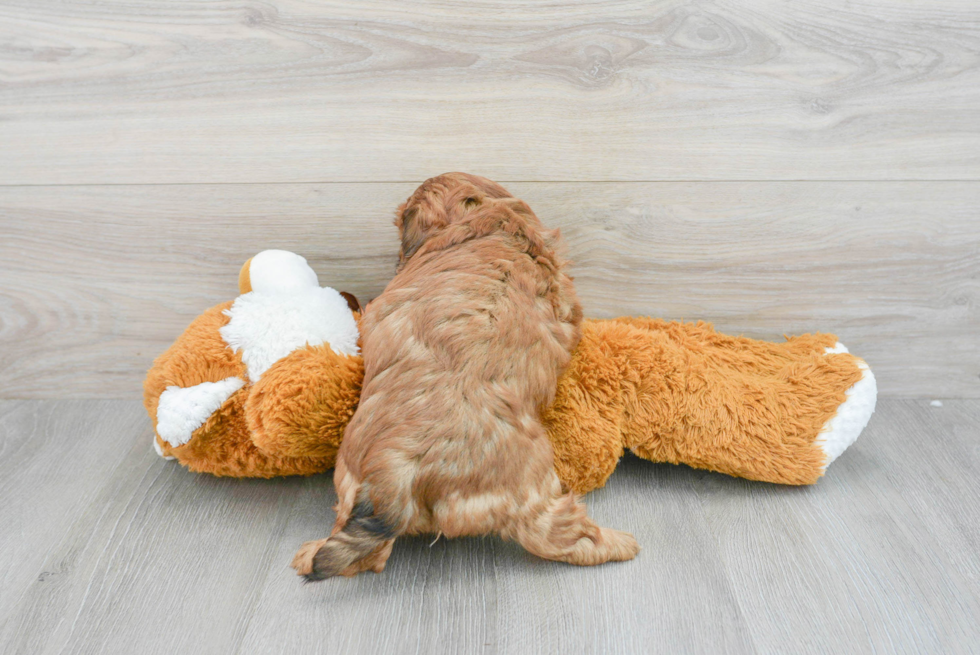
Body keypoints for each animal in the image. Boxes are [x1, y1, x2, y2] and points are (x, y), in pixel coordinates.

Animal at [290, 173, 640, 580]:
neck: (492, 220)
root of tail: (401, 474)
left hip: (354, 477)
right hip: (530, 496)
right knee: (569, 539)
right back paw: (622, 544)